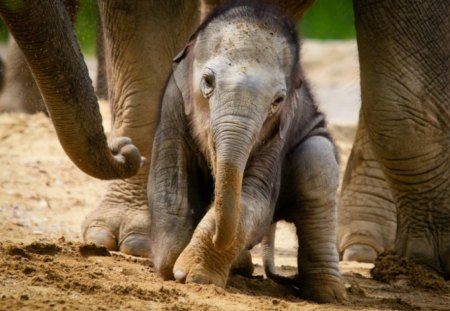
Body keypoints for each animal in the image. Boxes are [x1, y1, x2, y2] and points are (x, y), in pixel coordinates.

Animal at [148, 1, 344, 304]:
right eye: (207, 82)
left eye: (278, 100)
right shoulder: (173, 104)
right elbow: (169, 187)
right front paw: (174, 268)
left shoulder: (278, 133)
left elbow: (255, 201)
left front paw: (193, 274)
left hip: (317, 145)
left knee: (317, 165)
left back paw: (328, 296)